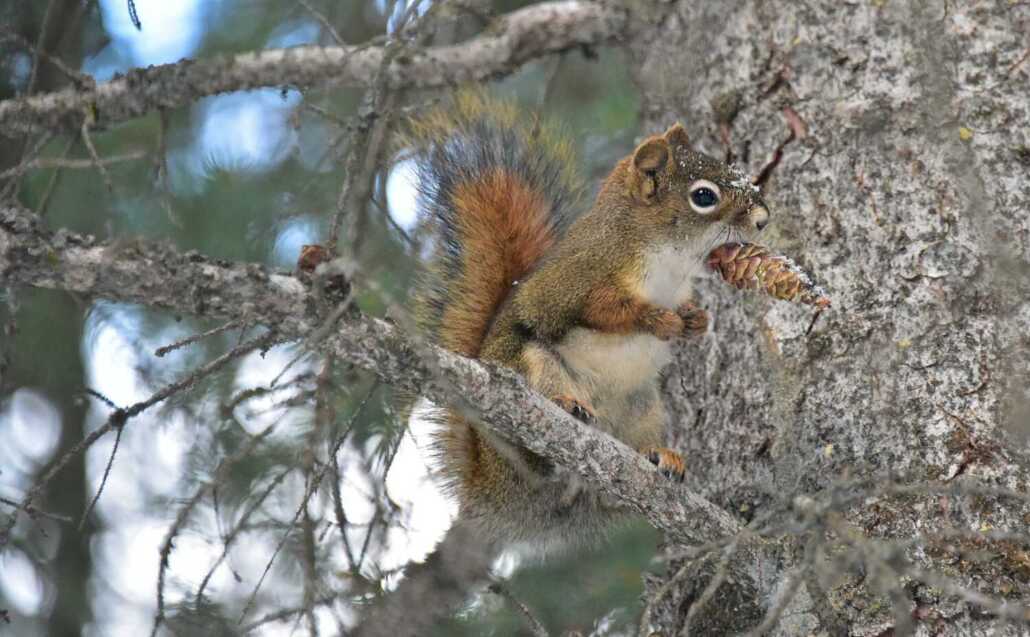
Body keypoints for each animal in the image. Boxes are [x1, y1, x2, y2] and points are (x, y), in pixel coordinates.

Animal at [405, 90, 770, 544]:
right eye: (704, 196)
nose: (763, 219)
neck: (670, 262)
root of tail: (493, 486)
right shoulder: (579, 278)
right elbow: (601, 310)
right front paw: (657, 320)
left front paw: (695, 321)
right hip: (530, 369)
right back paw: (566, 408)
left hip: (642, 407)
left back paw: (659, 456)